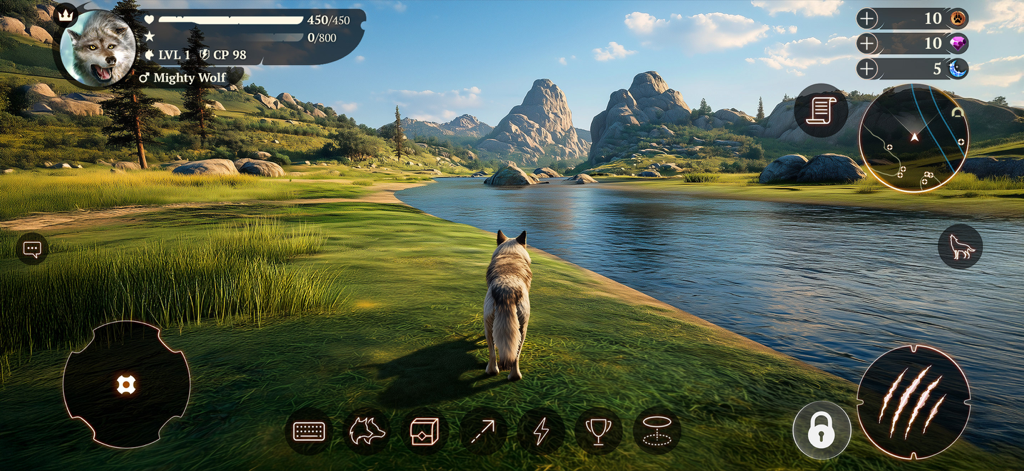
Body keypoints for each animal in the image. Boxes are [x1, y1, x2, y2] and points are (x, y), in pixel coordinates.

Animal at [484, 230, 532, 381]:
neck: (511, 253)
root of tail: (507, 290)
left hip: (491, 325)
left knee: (495, 352)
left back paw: (495, 372)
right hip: (522, 327)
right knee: (513, 355)